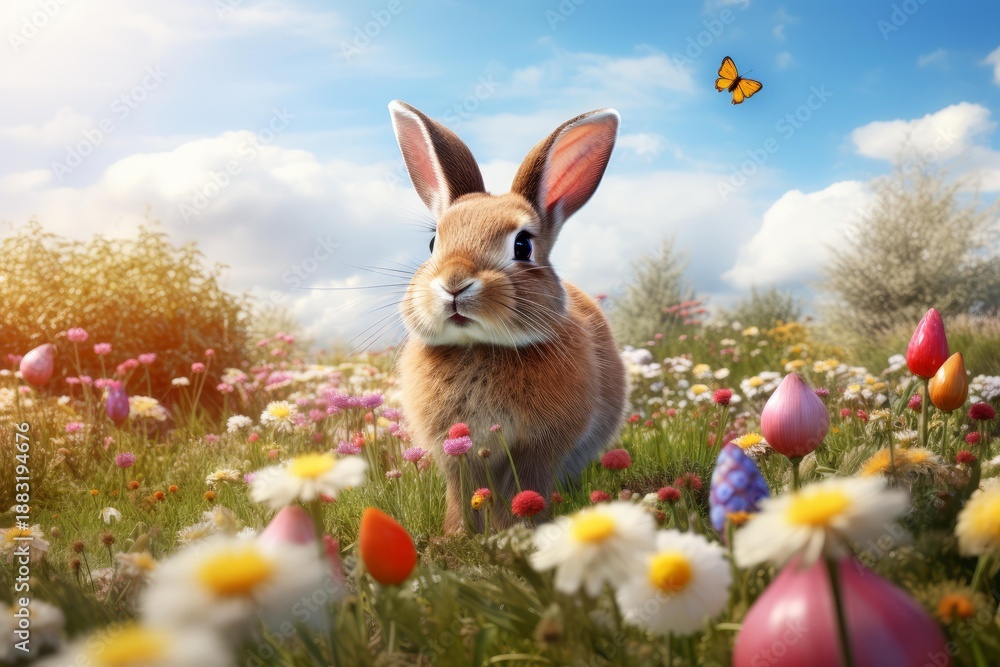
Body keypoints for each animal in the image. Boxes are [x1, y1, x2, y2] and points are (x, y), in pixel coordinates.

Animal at [388, 100, 628, 533]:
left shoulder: (539, 446)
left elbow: (525, 487)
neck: (478, 347)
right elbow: (462, 494)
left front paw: (516, 531)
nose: (455, 283)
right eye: (433, 242)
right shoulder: (455, 452)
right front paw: (456, 535)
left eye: (522, 245)